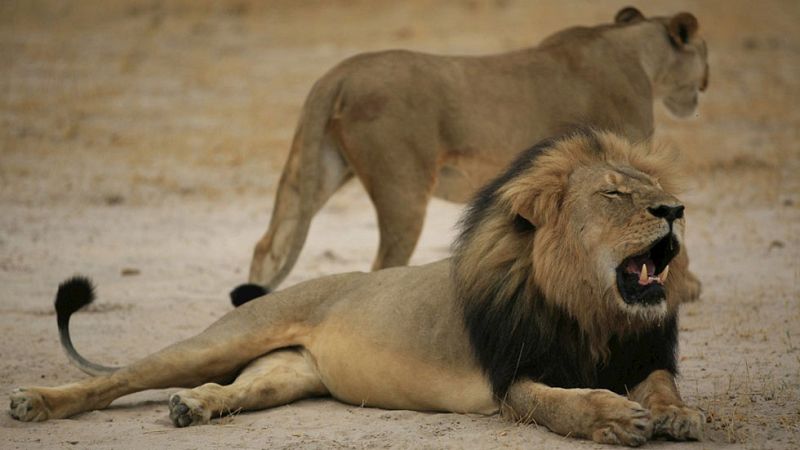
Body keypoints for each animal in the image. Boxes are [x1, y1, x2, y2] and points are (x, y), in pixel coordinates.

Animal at [10, 130, 703, 446]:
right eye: (615, 194)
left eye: (653, 189)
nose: (675, 209)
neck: (592, 312)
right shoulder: (513, 378)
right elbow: (563, 403)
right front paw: (614, 417)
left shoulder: (640, 354)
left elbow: (662, 384)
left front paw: (677, 414)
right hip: (222, 339)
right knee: (117, 380)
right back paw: (35, 402)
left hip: (286, 373)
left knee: (234, 389)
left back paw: (193, 407)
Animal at [237, 7, 709, 304]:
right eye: (704, 55)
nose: (705, 84)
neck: (637, 51)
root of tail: (338, 73)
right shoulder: (623, 158)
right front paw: (684, 287)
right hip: (402, 187)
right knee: (382, 264)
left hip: (317, 169)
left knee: (268, 244)